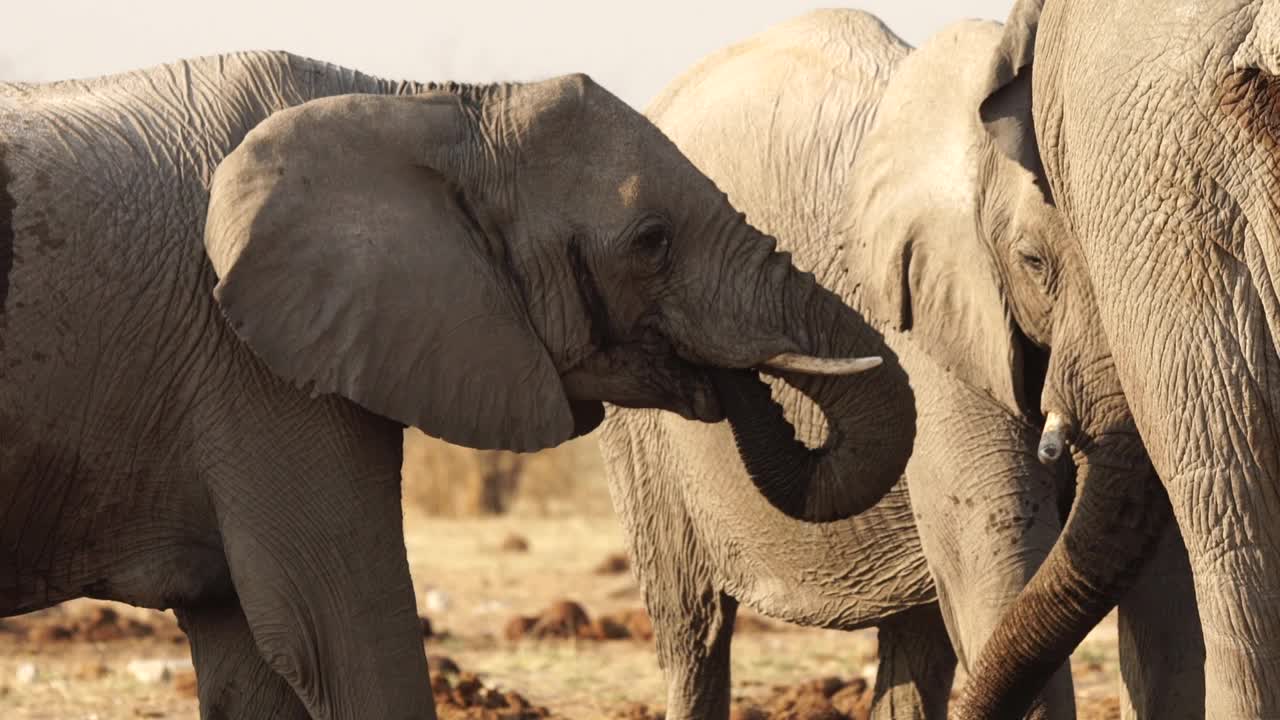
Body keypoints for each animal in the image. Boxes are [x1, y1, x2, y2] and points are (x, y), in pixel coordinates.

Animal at [2, 51, 921, 717]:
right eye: (652, 240)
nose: (723, 382)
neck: (431, 108)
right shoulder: (255, 370)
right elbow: (342, 637)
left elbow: (255, 667)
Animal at [599, 12, 1090, 717]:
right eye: (1033, 261)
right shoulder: (927, 324)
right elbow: (1000, 564)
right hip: (644, 454)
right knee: (694, 631)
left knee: (917, 638)